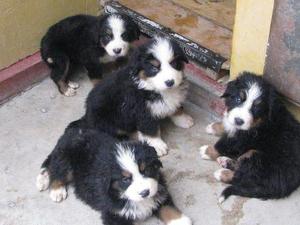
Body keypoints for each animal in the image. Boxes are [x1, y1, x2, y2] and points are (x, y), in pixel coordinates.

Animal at [36, 121, 191, 225]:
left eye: (146, 170)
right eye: (125, 179)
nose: (145, 193)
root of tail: (71, 132)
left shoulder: (160, 189)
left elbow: (167, 206)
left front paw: (180, 221)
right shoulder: (114, 214)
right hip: (66, 159)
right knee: (56, 170)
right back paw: (56, 190)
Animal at [199, 73, 300, 203]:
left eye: (256, 108)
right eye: (238, 99)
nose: (239, 121)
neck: (261, 120)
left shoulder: (244, 138)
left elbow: (224, 144)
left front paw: (207, 151)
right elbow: (229, 125)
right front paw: (215, 127)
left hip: (258, 157)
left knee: (243, 177)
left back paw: (221, 173)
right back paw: (225, 161)